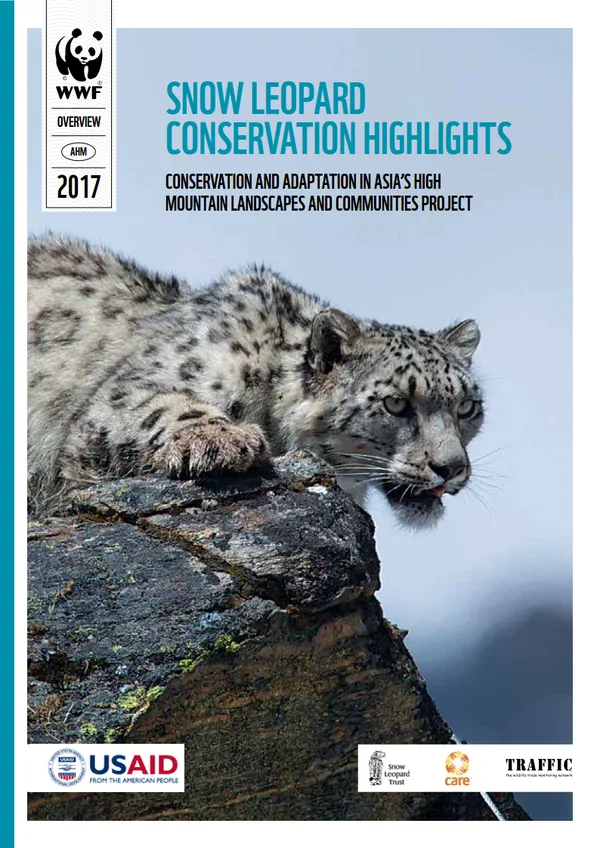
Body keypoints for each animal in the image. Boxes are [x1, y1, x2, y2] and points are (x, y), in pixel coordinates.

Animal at [28, 234, 485, 527]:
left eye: (467, 407)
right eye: (395, 403)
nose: (451, 468)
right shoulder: (118, 399)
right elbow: (158, 405)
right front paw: (221, 440)